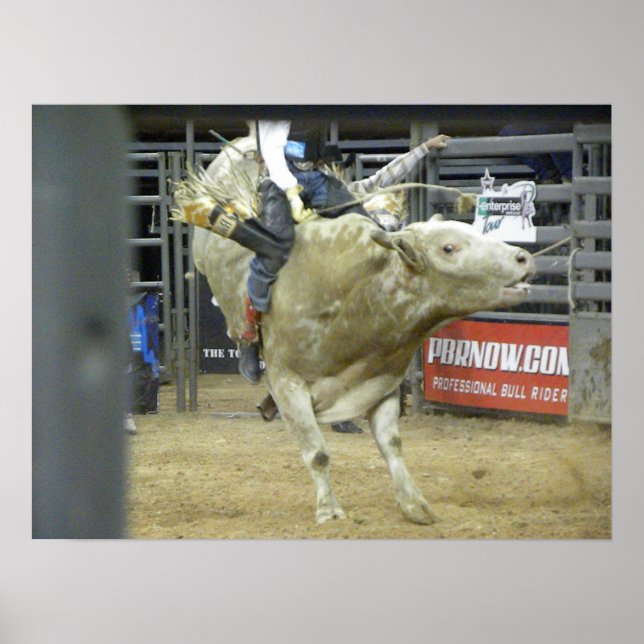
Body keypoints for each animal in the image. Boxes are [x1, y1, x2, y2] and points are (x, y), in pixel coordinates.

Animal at [178, 134, 535, 525]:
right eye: (449, 247)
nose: (522, 258)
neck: (357, 296)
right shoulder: (288, 383)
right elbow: (317, 451)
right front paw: (329, 510)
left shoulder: (381, 382)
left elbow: (391, 445)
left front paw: (414, 504)